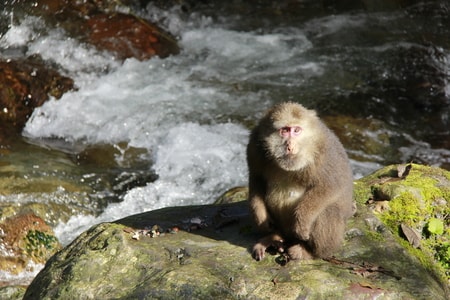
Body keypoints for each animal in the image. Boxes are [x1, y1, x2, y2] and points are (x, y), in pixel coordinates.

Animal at [246, 101, 356, 260]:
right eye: (285, 130)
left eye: (296, 130)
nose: (290, 145)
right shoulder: (254, 146)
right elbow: (256, 178)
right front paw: (261, 218)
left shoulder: (326, 151)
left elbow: (332, 185)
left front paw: (302, 222)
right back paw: (274, 237)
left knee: (329, 211)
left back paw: (310, 252)